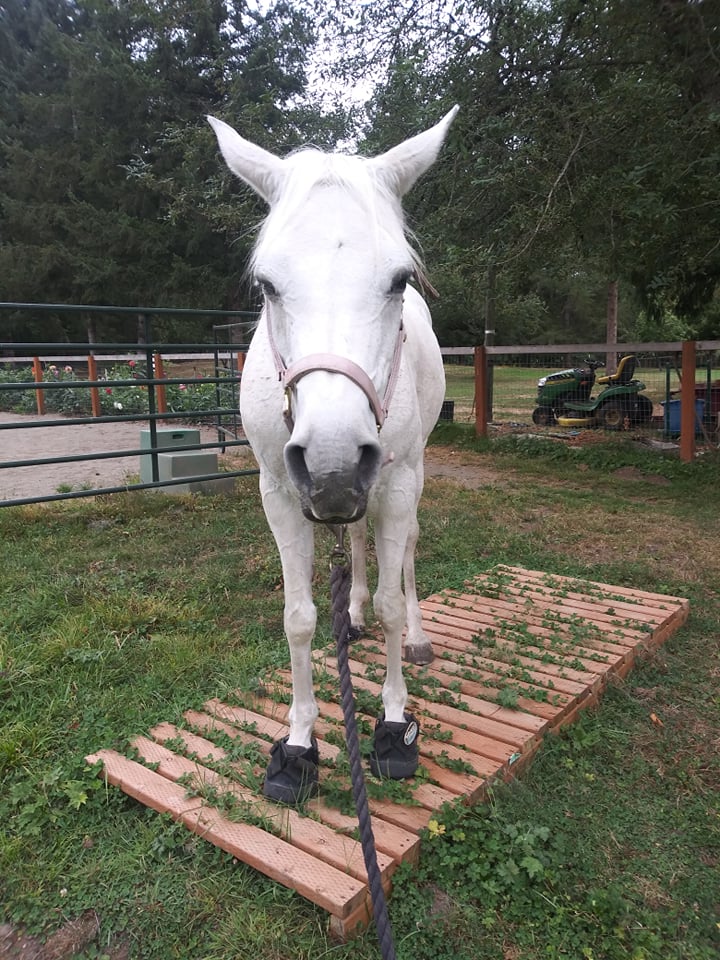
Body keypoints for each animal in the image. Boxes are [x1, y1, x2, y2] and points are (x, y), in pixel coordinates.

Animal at [208, 105, 458, 804]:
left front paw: (394, 727)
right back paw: (351, 612)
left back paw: (415, 636)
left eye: (399, 279)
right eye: (266, 284)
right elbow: (298, 617)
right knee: (357, 541)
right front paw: (298, 746)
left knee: (405, 557)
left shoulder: (394, 485)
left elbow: (393, 603)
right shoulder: (281, 492)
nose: (333, 459)